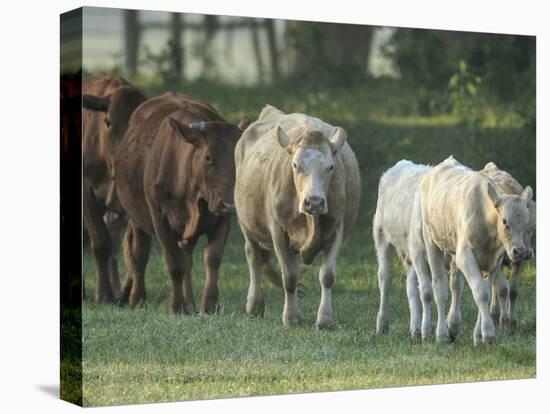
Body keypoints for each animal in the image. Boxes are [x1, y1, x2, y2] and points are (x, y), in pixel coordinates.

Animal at [115, 91, 249, 314]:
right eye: (208, 157)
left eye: (238, 159)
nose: (230, 205)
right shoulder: (160, 219)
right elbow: (174, 263)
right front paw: (177, 306)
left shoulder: (222, 217)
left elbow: (212, 258)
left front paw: (209, 305)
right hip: (137, 217)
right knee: (140, 252)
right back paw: (138, 298)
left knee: (187, 255)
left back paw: (191, 304)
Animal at [236, 105, 362, 328]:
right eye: (295, 165)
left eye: (331, 167)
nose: (314, 202)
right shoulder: (278, 229)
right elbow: (289, 277)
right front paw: (291, 317)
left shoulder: (336, 227)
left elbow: (327, 276)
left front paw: (325, 319)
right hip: (247, 224)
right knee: (253, 255)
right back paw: (254, 304)